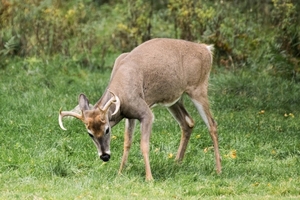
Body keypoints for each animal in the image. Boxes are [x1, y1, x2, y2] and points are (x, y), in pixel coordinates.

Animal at [58, 38, 221, 181]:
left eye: (107, 129)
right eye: (90, 133)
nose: (105, 156)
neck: (122, 93)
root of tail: (206, 49)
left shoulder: (145, 112)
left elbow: (144, 145)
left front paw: (149, 178)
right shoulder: (130, 115)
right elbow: (127, 143)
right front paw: (120, 173)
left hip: (198, 88)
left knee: (212, 124)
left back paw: (218, 169)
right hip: (174, 99)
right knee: (188, 123)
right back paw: (177, 163)